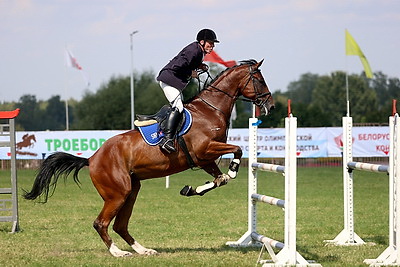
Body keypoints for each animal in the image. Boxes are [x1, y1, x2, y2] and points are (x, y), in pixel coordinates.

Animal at [23, 60, 276, 258]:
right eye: (259, 80)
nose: (271, 106)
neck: (210, 110)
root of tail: (92, 158)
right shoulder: (205, 151)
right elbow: (237, 151)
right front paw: (232, 169)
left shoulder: (204, 160)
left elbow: (219, 179)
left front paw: (192, 189)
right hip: (118, 193)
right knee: (101, 223)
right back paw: (118, 252)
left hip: (131, 191)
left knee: (120, 225)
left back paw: (143, 250)